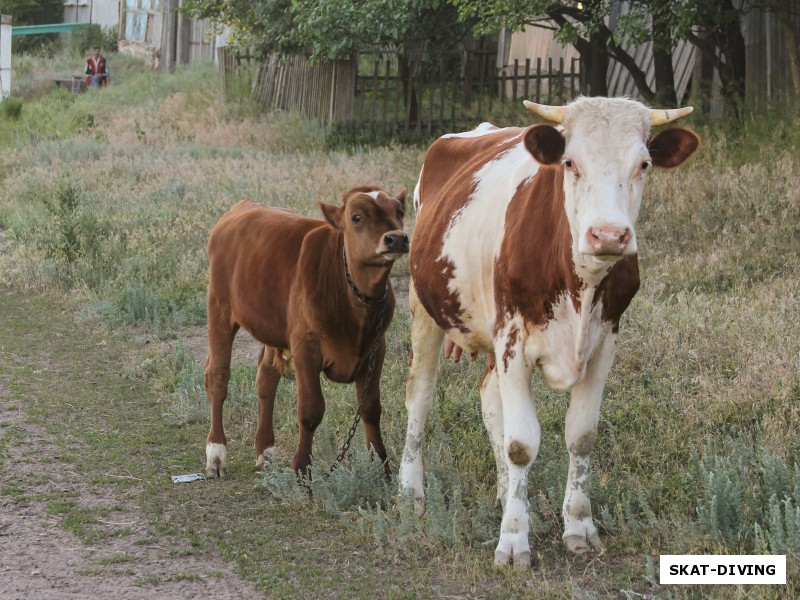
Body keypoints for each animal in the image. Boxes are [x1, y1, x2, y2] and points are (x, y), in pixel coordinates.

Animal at [203, 185, 410, 476]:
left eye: (399, 212)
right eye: (357, 217)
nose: (396, 239)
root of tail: (243, 206)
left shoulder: (376, 347)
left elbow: (370, 408)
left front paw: (382, 470)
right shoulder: (305, 347)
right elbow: (311, 411)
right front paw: (302, 470)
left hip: (273, 326)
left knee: (266, 378)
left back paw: (265, 452)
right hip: (219, 307)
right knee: (218, 376)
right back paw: (216, 455)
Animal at [400, 97, 700, 568]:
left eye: (644, 164)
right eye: (570, 162)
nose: (608, 235)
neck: (582, 282)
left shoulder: (606, 341)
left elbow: (581, 436)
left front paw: (578, 527)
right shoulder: (513, 338)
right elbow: (522, 443)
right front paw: (513, 542)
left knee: (489, 397)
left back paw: (506, 492)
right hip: (422, 304)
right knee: (420, 395)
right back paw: (411, 494)